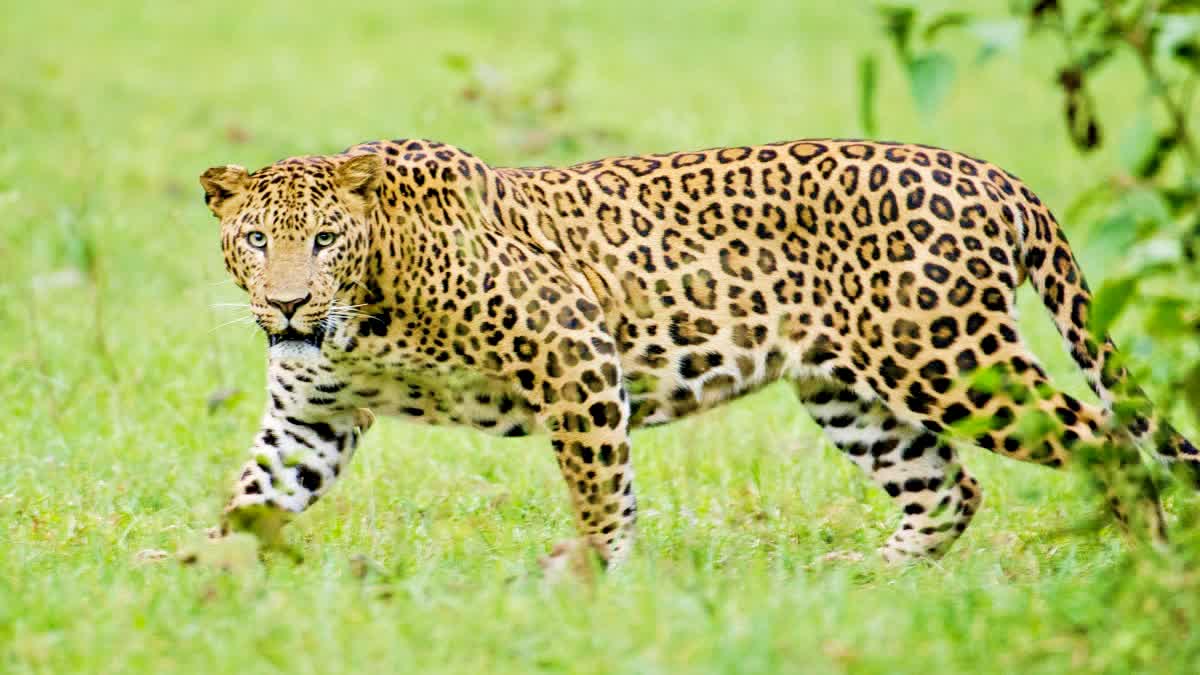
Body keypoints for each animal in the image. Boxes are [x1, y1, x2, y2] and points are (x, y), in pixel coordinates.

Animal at [199, 138, 1199, 568]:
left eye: (325, 239)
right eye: (255, 240)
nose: (287, 302)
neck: (365, 308)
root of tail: (997, 175)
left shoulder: (573, 348)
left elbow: (600, 487)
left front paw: (594, 576)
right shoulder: (310, 418)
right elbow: (251, 500)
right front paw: (189, 587)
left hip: (948, 359)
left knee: (1111, 442)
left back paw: (1149, 564)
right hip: (850, 390)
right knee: (948, 487)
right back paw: (868, 579)